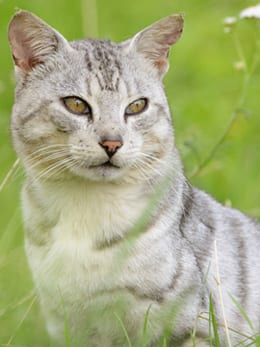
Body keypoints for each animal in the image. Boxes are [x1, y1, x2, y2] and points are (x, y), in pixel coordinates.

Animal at [8, 10, 260, 347]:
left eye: (137, 106)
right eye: (76, 104)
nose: (112, 143)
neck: (87, 207)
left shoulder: (196, 327)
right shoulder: (67, 322)